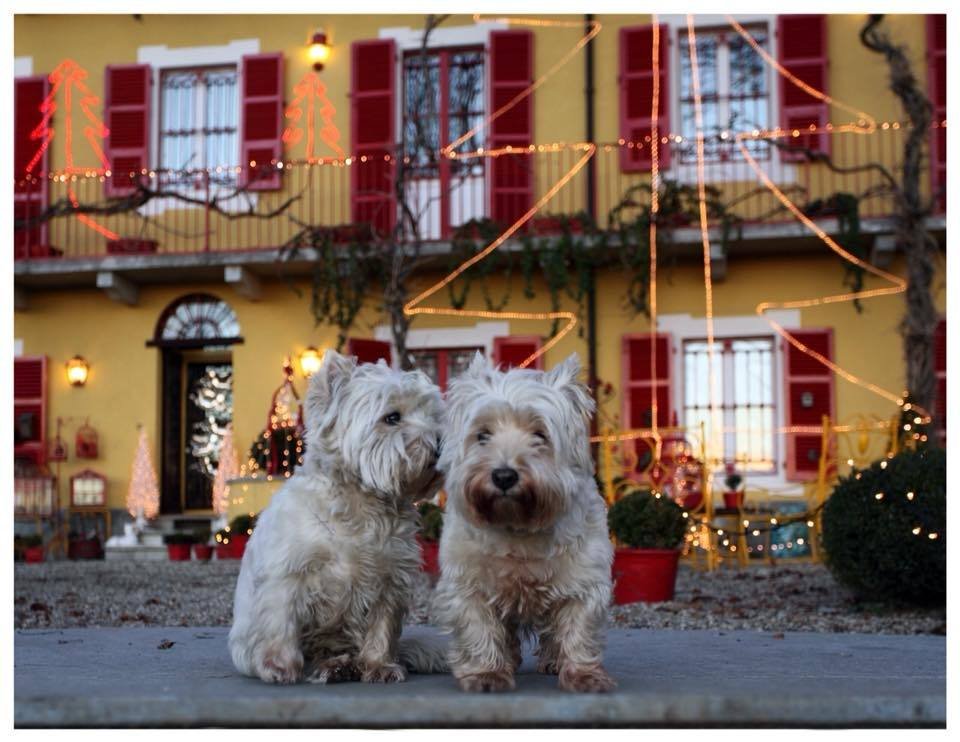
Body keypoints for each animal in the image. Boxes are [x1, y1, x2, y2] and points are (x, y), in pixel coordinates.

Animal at [229, 352, 446, 688]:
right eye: (392, 417)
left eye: (432, 415)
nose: (440, 444)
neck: (361, 503)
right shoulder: (288, 573)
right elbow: (280, 619)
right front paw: (278, 665)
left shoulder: (390, 578)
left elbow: (382, 628)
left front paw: (380, 666)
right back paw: (331, 666)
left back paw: (343, 664)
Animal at [436, 352, 616, 696]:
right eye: (482, 435)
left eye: (540, 435)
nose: (504, 475)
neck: (517, 527)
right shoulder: (469, 584)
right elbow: (478, 628)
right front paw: (487, 673)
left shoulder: (583, 579)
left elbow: (578, 628)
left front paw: (583, 675)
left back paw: (552, 661)